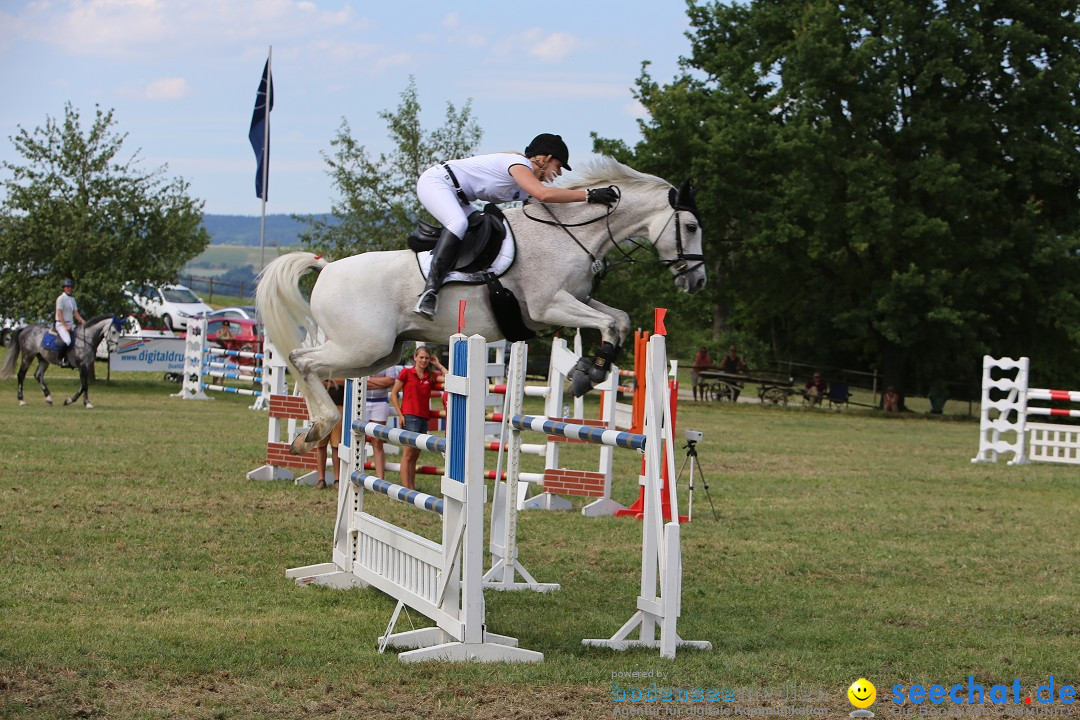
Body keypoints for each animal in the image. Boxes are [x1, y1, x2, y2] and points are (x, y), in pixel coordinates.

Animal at [255, 157, 704, 453]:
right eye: (691, 226)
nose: (697, 281)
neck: (568, 232)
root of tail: (327, 268)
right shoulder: (547, 306)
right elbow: (608, 324)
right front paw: (585, 376)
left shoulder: (576, 298)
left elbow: (620, 319)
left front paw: (588, 371)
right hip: (361, 346)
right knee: (302, 360)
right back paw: (318, 428)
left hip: (378, 354)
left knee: (318, 367)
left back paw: (310, 431)